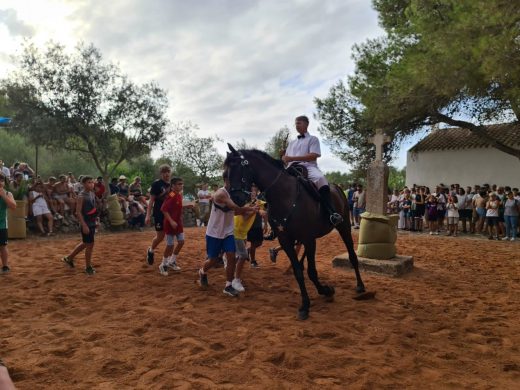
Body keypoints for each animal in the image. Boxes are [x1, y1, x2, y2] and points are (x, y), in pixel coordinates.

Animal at [225, 145, 368, 320]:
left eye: (239, 168)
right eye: (226, 172)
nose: (235, 199)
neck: (284, 195)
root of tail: (337, 188)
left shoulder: (307, 238)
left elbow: (312, 271)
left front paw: (322, 292)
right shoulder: (287, 240)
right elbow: (299, 271)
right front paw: (309, 301)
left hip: (343, 227)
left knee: (352, 255)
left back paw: (360, 286)